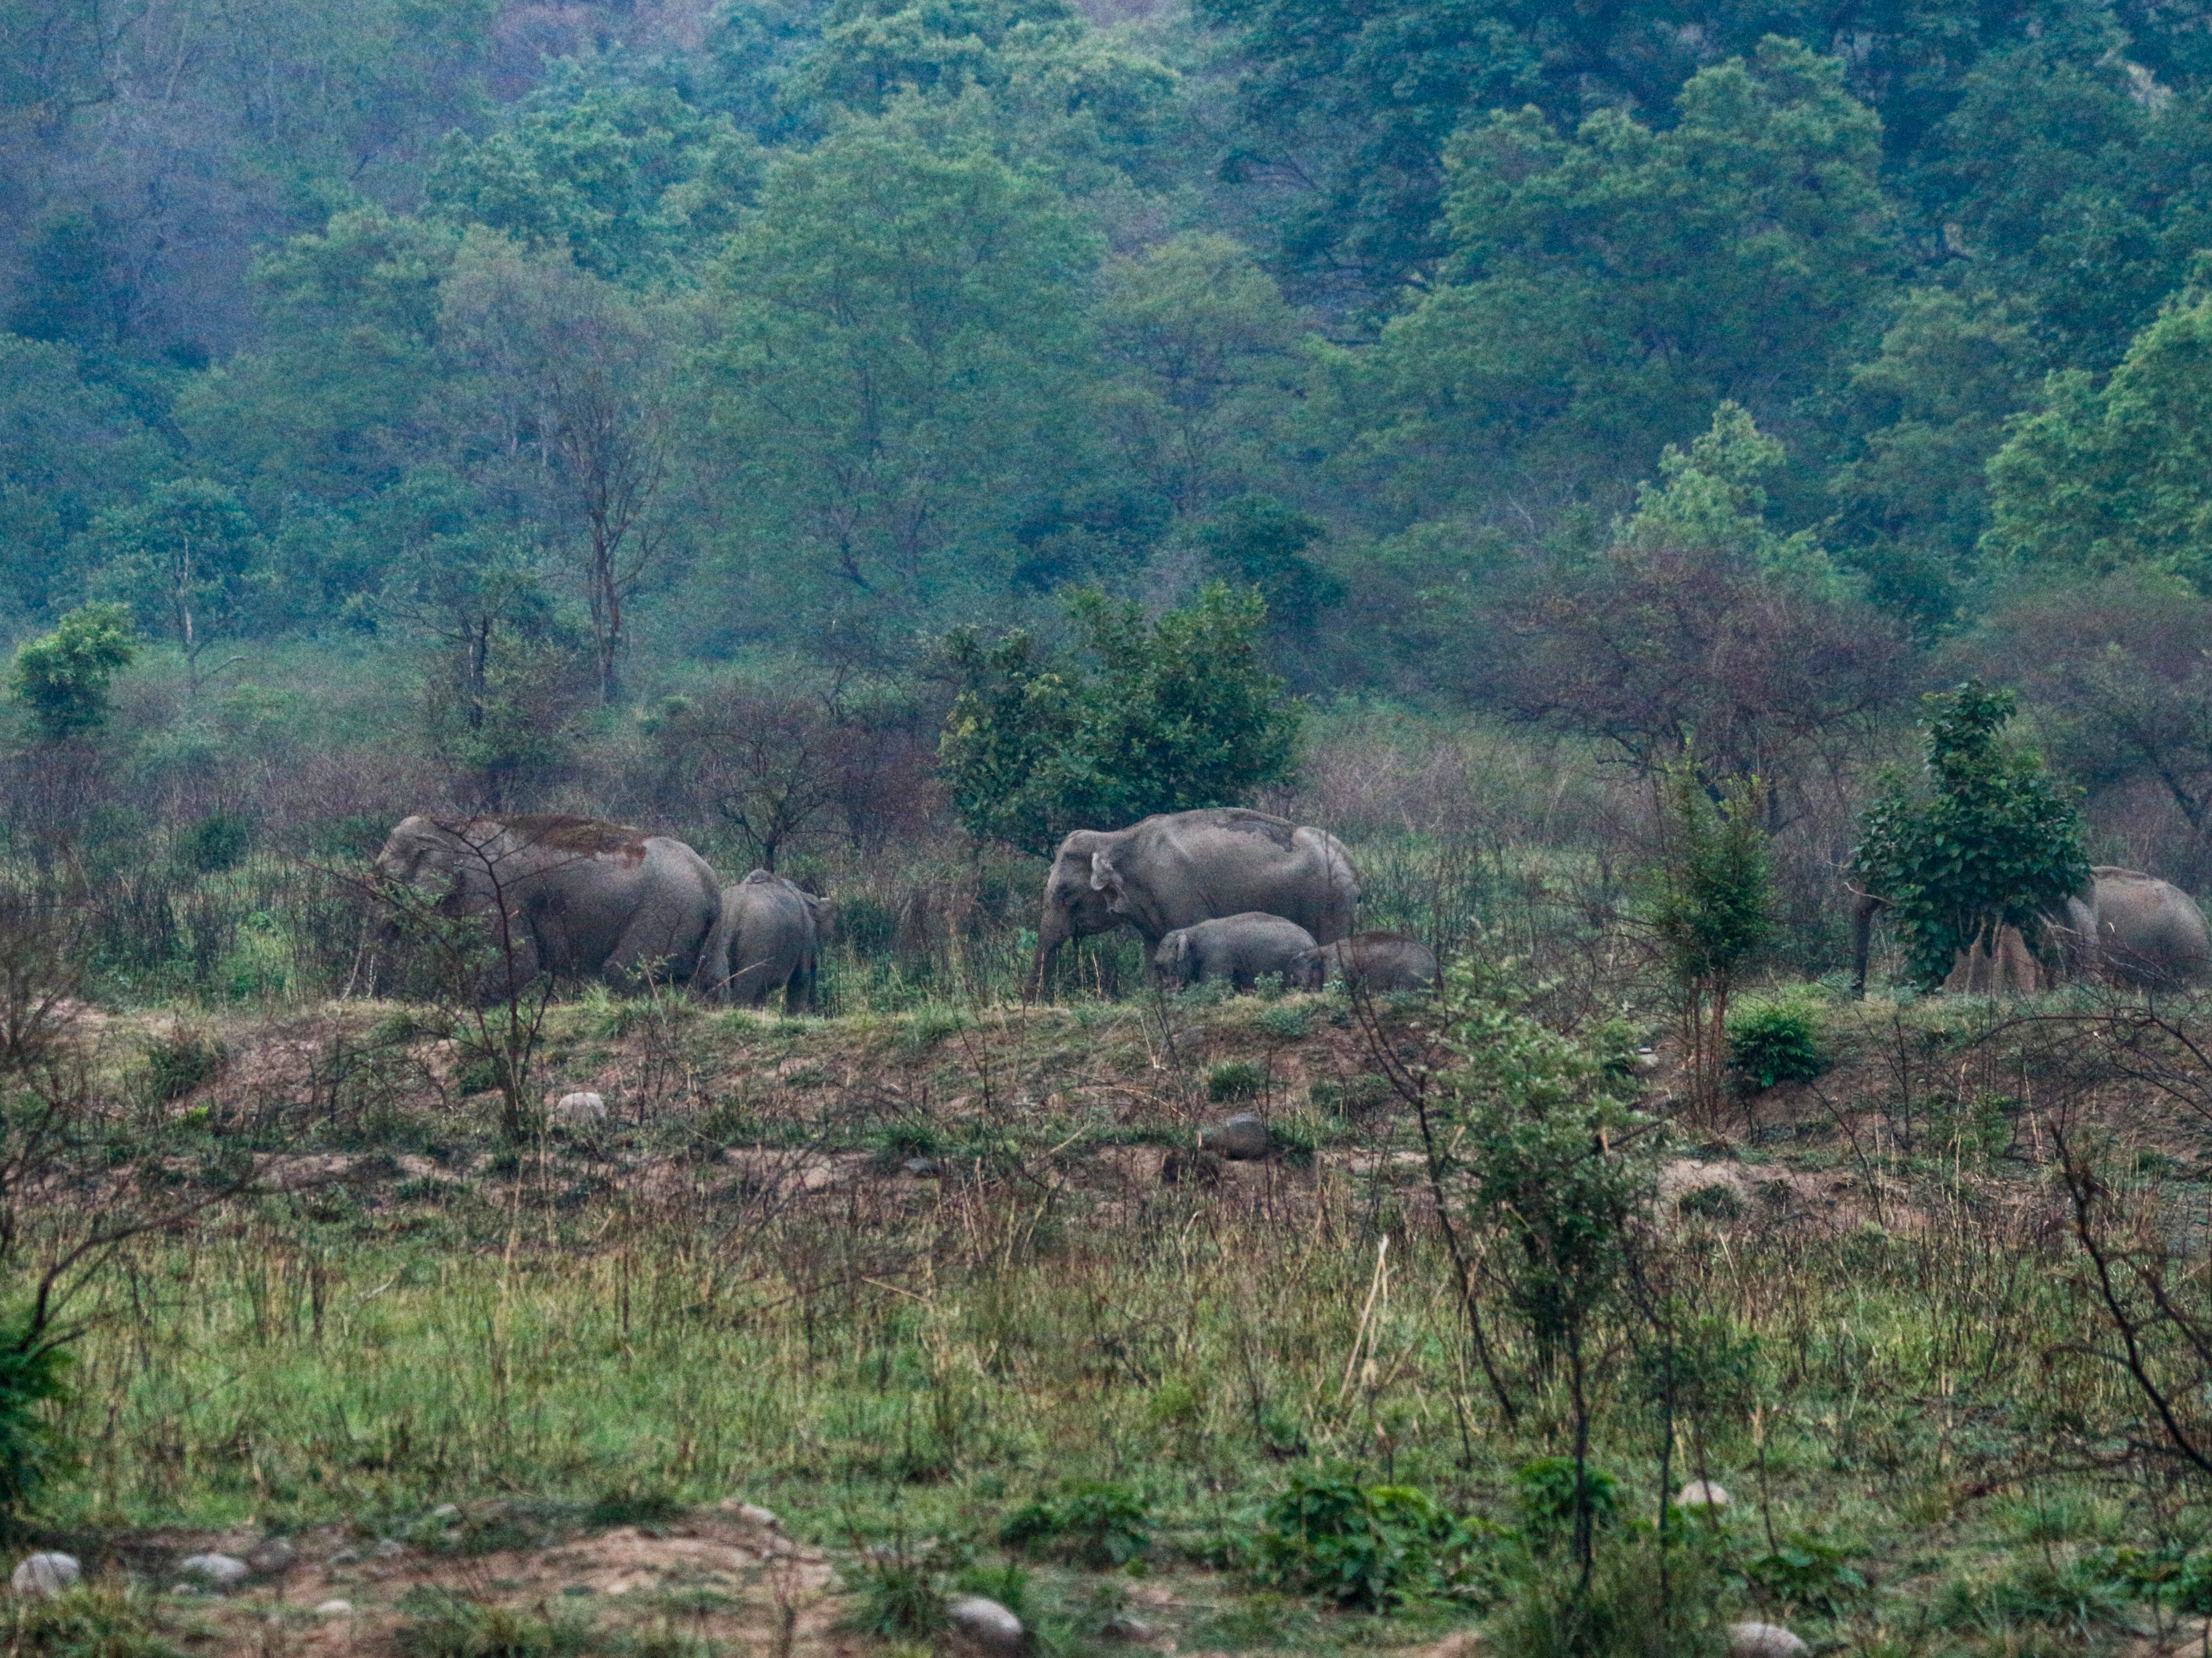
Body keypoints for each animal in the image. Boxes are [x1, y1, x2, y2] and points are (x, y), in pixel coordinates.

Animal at [376, 813, 721, 995]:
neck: (450, 826)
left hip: (668, 910)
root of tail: (711, 881)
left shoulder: (491, 888)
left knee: (621, 972)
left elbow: (517, 964)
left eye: (385, 882)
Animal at [1159, 915, 1309, 995]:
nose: (1167, 995)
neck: (1190, 932)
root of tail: (1312, 940)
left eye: (1165, 967)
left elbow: (1213, 986)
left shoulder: (1217, 956)